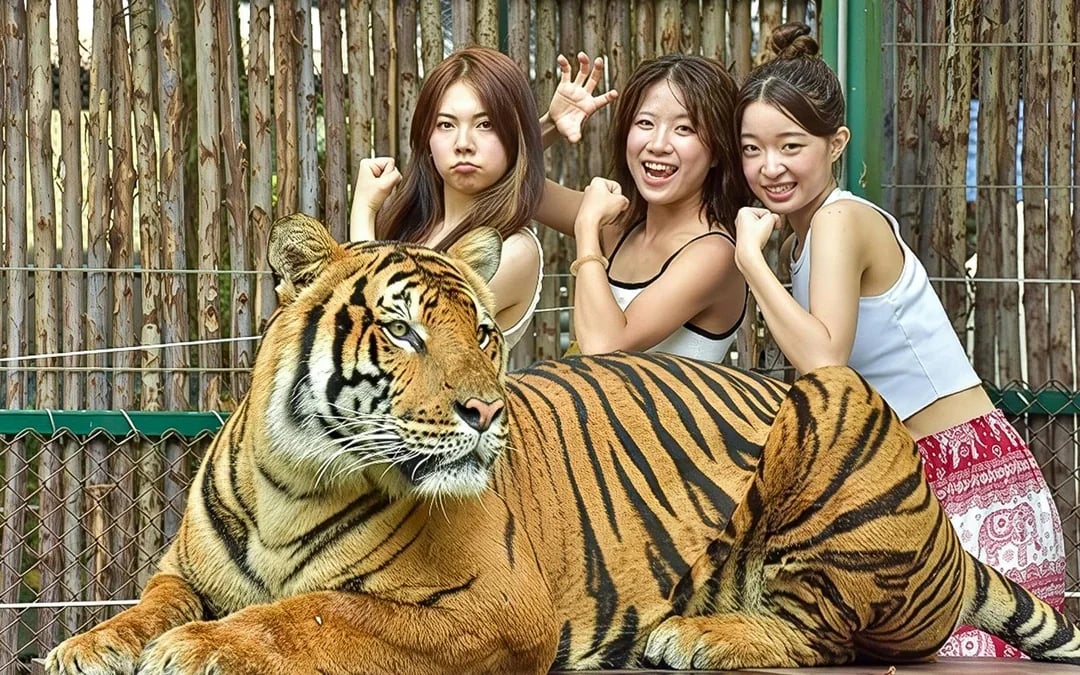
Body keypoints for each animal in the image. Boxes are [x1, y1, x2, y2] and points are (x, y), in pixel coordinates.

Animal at [45, 213, 1080, 674]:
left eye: (484, 332)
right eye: (403, 332)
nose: (482, 411)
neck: (292, 477)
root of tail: (946, 538)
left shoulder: (490, 603)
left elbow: (320, 613)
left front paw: (204, 646)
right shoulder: (183, 569)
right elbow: (146, 604)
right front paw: (87, 645)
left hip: (836, 406)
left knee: (823, 630)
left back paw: (698, 631)